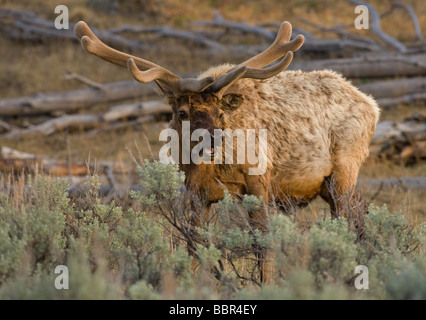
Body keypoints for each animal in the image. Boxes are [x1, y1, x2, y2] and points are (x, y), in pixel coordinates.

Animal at [73, 19, 380, 280]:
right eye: (182, 112)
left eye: (220, 112)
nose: (212, 141)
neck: (216, 168)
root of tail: (371, 105)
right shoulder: (196, 192)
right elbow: (194, 244)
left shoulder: (259, 184)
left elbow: (263, 246)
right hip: (328, 184)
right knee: (359, 211)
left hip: (343, 171)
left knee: (346, 221)